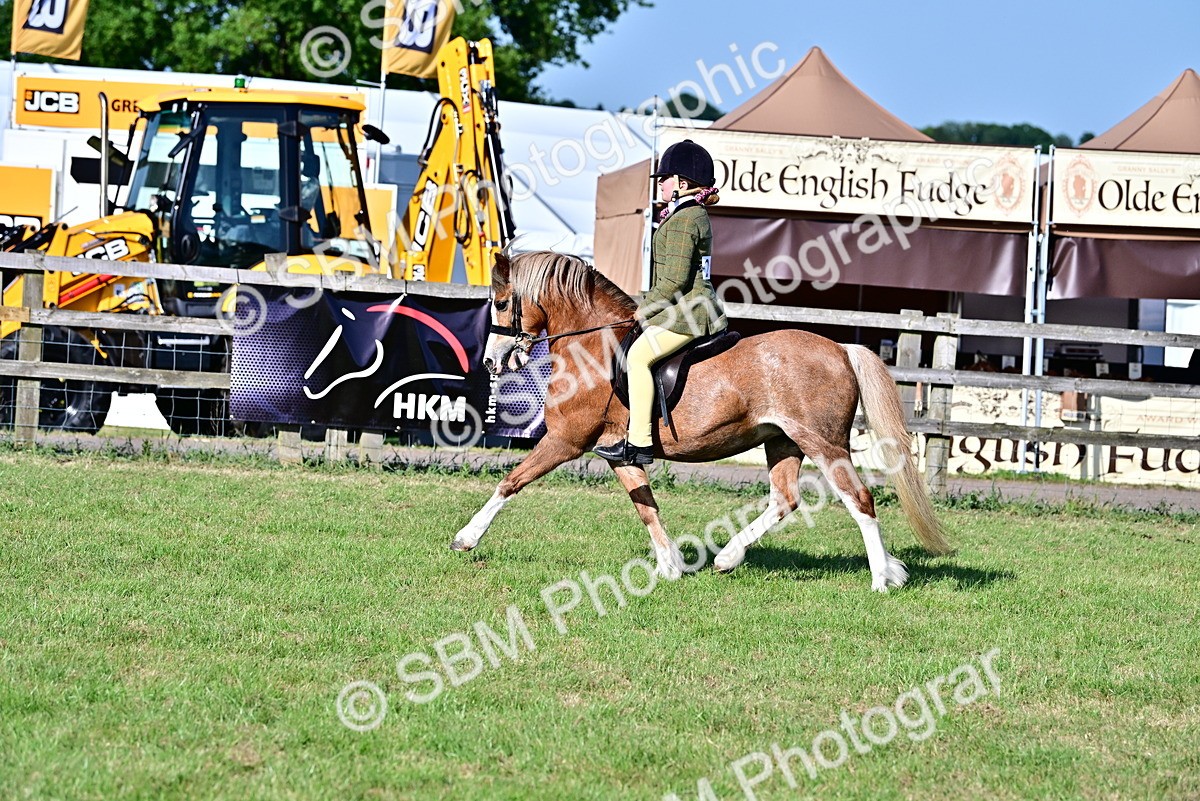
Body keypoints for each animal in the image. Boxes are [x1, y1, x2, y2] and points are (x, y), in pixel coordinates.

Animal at [451, 250, 952, 591]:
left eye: (500, 303)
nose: (491, 362)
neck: (593, 346)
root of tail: (840, 348)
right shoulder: (619, 454)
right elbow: (646, 505)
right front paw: (670, 566)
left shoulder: (564, 441)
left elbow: (511, 482)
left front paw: (466, 538)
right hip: (783, 441)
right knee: (785, 499)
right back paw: (728, 558)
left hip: (823, 443)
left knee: (858, 499)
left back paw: (882, 578)